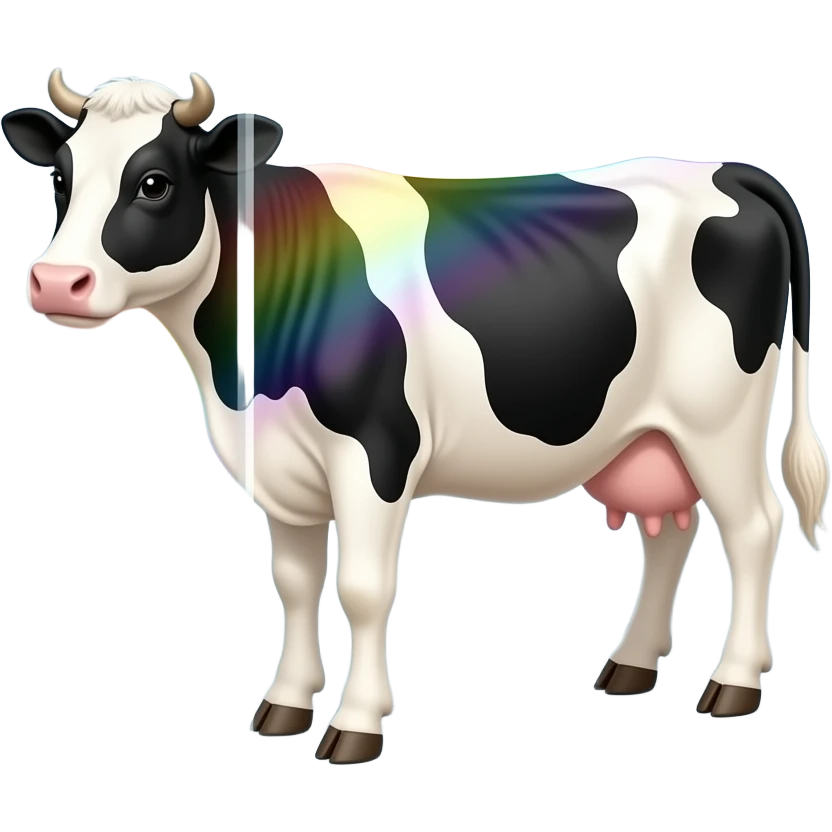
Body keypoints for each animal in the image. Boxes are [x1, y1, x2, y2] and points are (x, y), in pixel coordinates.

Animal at [3, 70, 829, 761]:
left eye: (153, 182)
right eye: (62, 179)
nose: (56, 282)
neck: (240, 374)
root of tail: (723, 168)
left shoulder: (376, 451)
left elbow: (364, 588)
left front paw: (355, 726)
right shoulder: (282, 467)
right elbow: (295, 584)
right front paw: (284, 708)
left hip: (718, 419)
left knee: (753, 528)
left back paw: (733, 684)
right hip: (652, 432)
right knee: (672, 531)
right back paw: (628, 666)